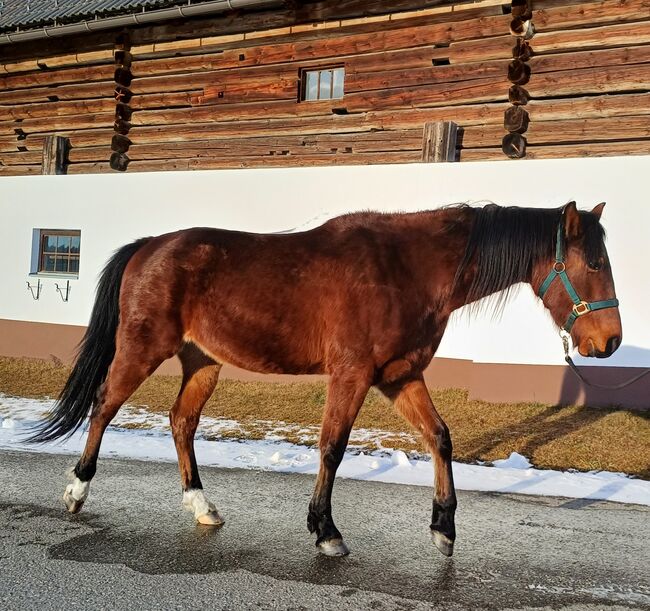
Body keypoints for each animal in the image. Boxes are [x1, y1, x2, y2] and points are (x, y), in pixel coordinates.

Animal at [29, 202, 616, 560]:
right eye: (593, 262)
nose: (610, 340)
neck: (406, 269)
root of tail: (150, 245)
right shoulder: (352, 375)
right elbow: (332, 446)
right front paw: (325, 531)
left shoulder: (401, 377)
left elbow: (439, 438)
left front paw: (444, 529)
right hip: (143, 348)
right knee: (105, 405)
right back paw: (76, 491)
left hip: (203, 361)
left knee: (181, 421)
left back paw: (202, 506)